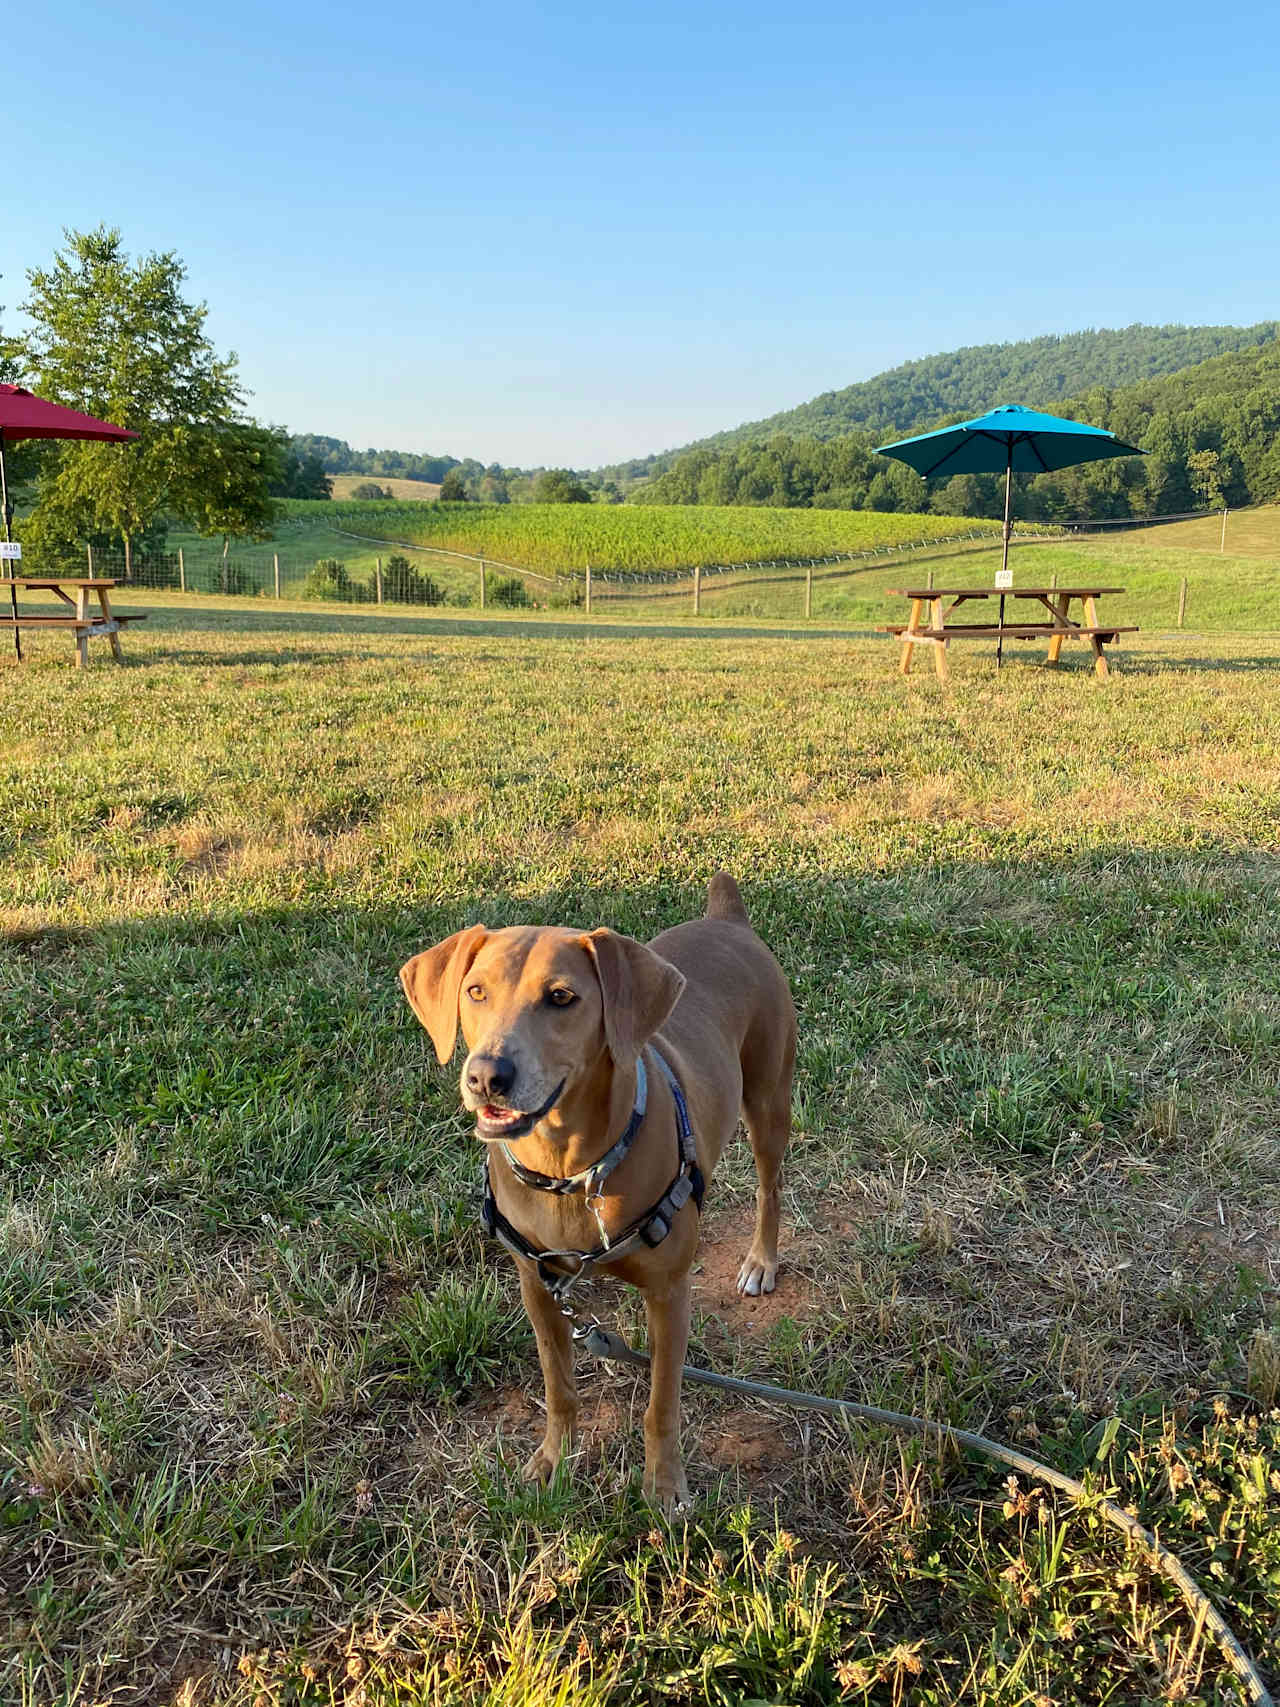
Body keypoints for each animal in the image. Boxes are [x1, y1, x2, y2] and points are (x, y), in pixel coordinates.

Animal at [406, 880, 798, 1508]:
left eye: (561, 997)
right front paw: (552, 1459)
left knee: (771, 1187)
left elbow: (662, 1403)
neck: (570, 1170)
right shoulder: (537, 1286)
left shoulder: (669, 1294)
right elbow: (558, 1386)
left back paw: (761, 1260)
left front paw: (663, 1485)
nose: (487, 1075)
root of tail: (728, 921)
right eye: (475, 991)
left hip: (768, 1098)